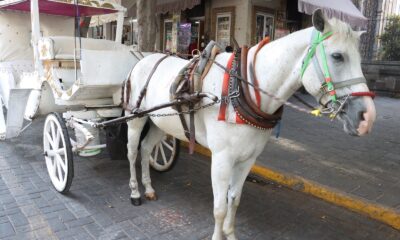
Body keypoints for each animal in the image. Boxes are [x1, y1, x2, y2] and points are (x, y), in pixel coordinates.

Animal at [124, 10, 376, 240]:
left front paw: (230, 233)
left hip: (160, 123)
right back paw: (135, 192)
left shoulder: (248, 158)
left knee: (146, 149)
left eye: (360, 59)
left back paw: (149, 188)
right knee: (133, 153)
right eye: (337, 56)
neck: (241, 89)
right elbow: (219, 208)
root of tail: (142, 60)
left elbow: (234, 200)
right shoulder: (222, 159)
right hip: (136, 119)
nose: (367, 117)